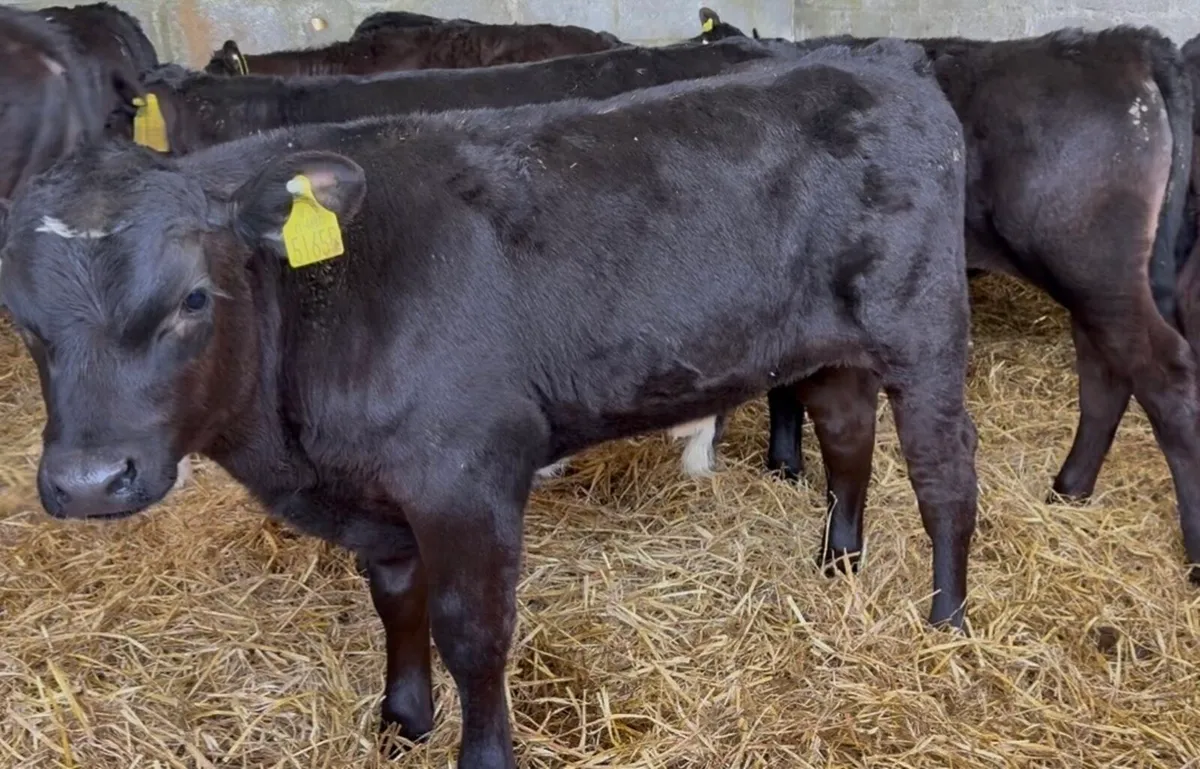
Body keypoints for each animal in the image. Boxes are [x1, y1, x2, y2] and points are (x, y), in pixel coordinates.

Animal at [0, 39, 974, 768]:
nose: (88, 481)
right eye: (22, 315)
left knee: (945, 478)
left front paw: (479, 751)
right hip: (830, 342)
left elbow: (474, 631)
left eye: (193, 298)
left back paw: (947, 620)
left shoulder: (468, 475)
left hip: (923, 328)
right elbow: (397, 600)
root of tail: (877, 58)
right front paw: (401, 719)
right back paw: (838, 565)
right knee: (847, 440)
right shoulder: (380, 492)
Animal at [686, 18, 1200, 585]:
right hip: (1096, 281)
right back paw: (1069, 489)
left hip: (1094, 267)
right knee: (1107, 375)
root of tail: (1123, 41)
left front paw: (783, 464)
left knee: (1166, 379)